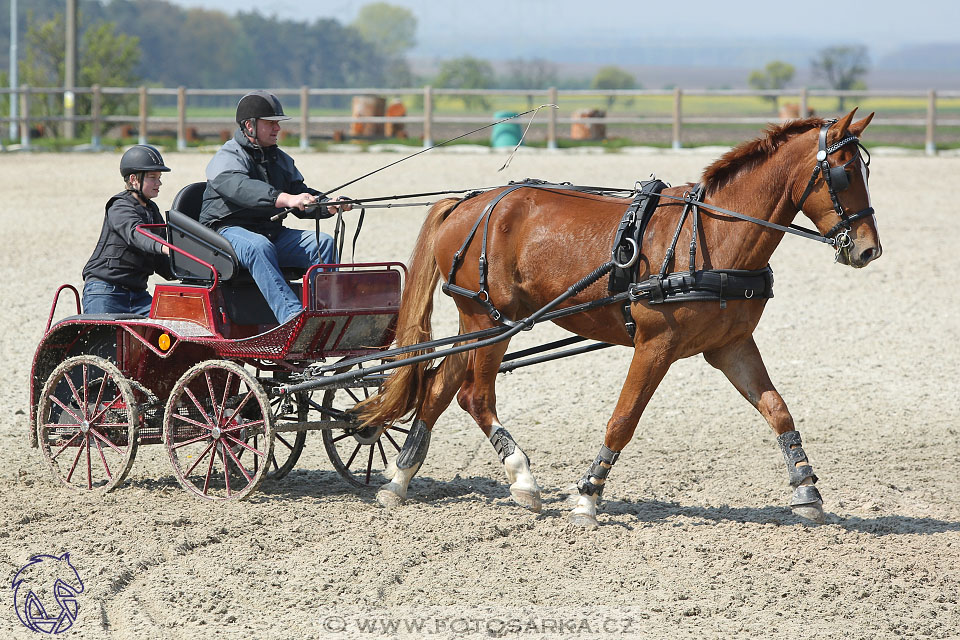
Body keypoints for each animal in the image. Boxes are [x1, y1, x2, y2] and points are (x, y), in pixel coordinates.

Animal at [358, 110, 876, 528]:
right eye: (844, 173)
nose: (869, 249)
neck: (710, 234)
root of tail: (468, 203)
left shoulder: (731, 345)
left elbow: (777, 409)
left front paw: (807, 491)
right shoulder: (656, 344)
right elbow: (624, 419)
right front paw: (587, 497)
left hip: (484, 322)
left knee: (439, 387)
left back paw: (399, 478)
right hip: (490, 317)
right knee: (473, 395)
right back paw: (522, 479)